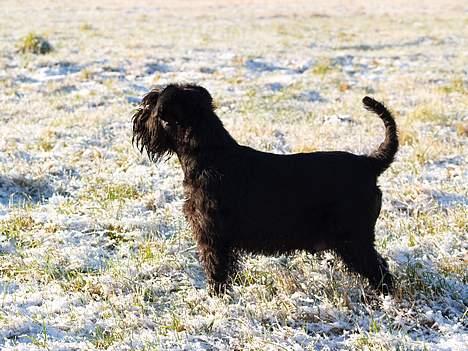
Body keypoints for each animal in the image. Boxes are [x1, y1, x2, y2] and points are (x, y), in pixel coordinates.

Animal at [133, 84, 398, 296]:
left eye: (152, 103)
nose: (137, 117)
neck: (209, 154)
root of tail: (369, 163)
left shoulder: (212, 237)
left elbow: (216, 270)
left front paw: (215, 298)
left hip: (354, 240)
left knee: (380, 271)